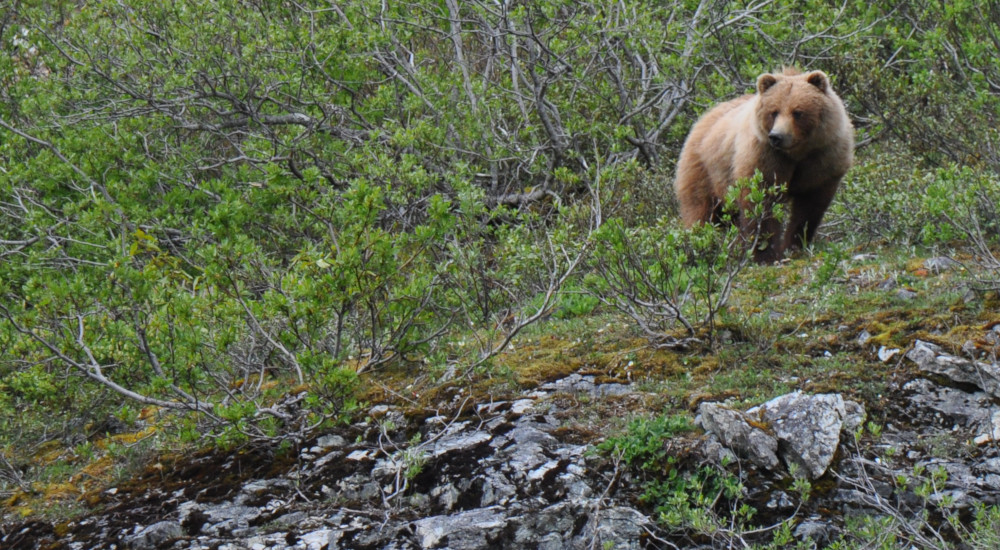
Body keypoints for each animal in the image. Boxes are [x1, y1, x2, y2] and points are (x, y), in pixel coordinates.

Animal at [672, 68, 852, 264]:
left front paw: (794, 245)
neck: (797, 154)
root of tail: (703, 119)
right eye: (774, 112)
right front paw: (765, 254)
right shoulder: (765, 158)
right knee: (701, 212)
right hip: (704, 171)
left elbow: (808, 208)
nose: (777, 136)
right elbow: (760, 204)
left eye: (797, 112)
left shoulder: (822, 159)